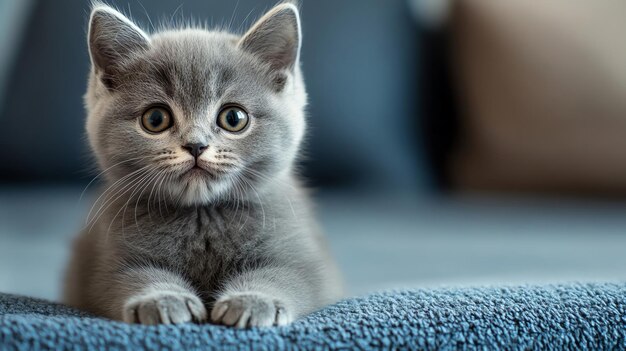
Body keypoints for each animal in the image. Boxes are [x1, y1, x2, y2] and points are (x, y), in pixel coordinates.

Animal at [63, 1, 342, 328]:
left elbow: (286, 276)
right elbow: (128, 277)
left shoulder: (302, 257)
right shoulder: (104, 262)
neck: (201, 216)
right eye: (155, 119)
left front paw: (253, 301)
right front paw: (162, 299)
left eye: (233, 118)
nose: (196, 145)